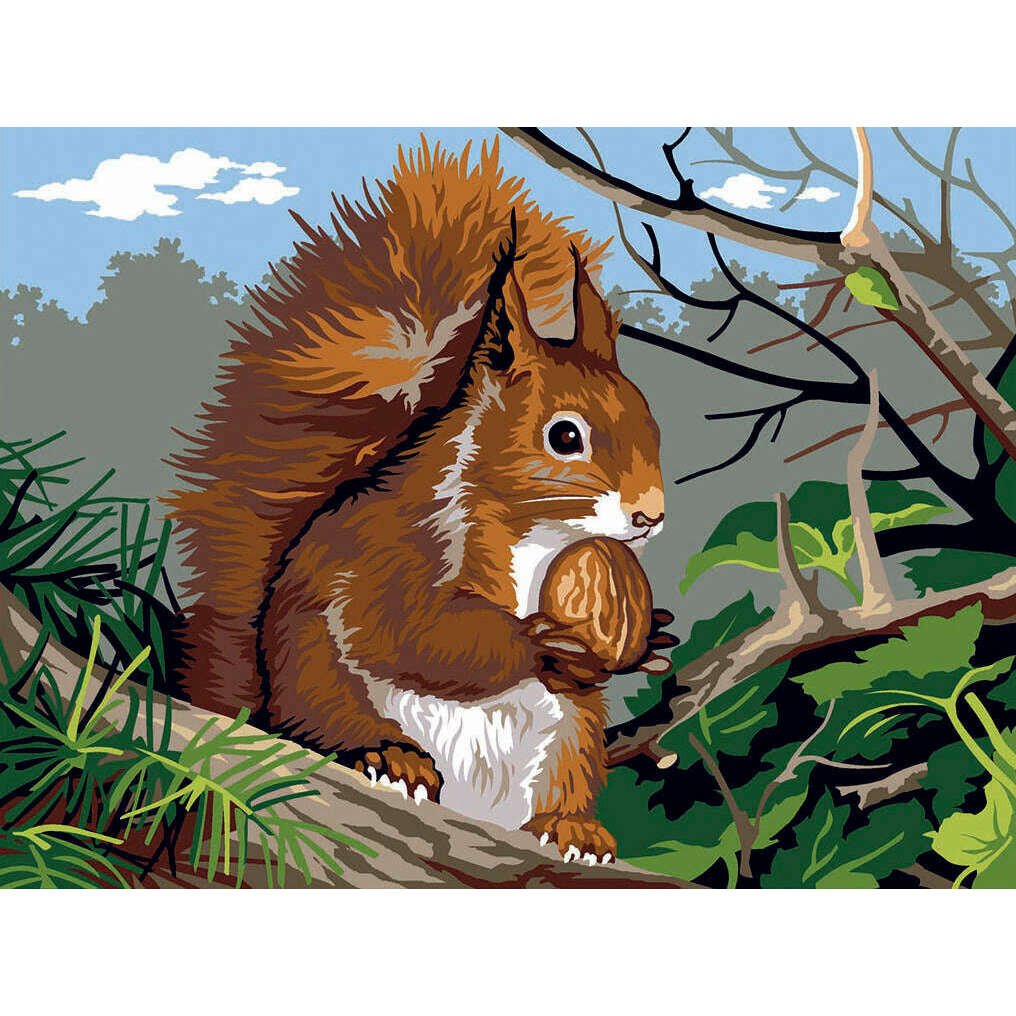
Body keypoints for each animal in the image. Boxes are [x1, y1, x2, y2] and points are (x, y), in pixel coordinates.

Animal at [167, 138, 669, 863]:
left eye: (652, 421)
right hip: (319, 680)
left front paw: (652, 640)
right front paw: (536, 640)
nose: (649, 515)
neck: (539, 538)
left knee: (565, 779)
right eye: (565, 436)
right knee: (332, 720)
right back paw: (390, 756)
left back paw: (572, 827)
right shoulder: (394, 547)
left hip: (572, 735)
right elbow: (410, 631)